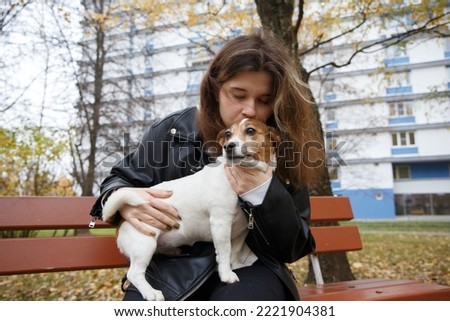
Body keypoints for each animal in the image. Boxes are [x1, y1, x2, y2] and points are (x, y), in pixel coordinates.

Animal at [102, 118, 282, 300]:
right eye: (227, 134)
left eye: (250, 130)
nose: (228, 146)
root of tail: (121, 220)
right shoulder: (221, 223)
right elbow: (224, 253)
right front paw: (226, 274)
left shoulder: (240, 231)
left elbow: (234, 252)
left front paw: (235, 265)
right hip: (144, 244)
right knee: (134, 274)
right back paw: (151, 292)